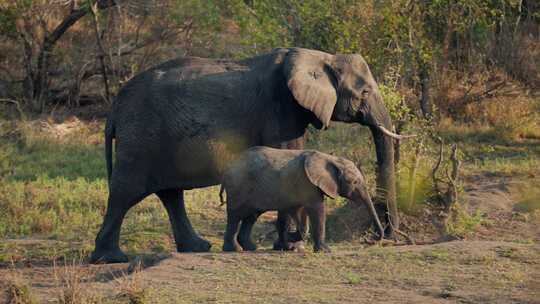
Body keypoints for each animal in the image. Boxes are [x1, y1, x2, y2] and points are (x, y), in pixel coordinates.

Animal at [219, 146, 384, 253]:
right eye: (354, 182)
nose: (369, 239)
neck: (331, 159)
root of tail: (227, 167)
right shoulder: (307, 183)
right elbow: (317, 209)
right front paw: (325, 250)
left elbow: (300, 211)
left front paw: (290, 240)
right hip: (238, 186)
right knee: (235, 215)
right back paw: (234, 249)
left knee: (251, 216)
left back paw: (251, 248)